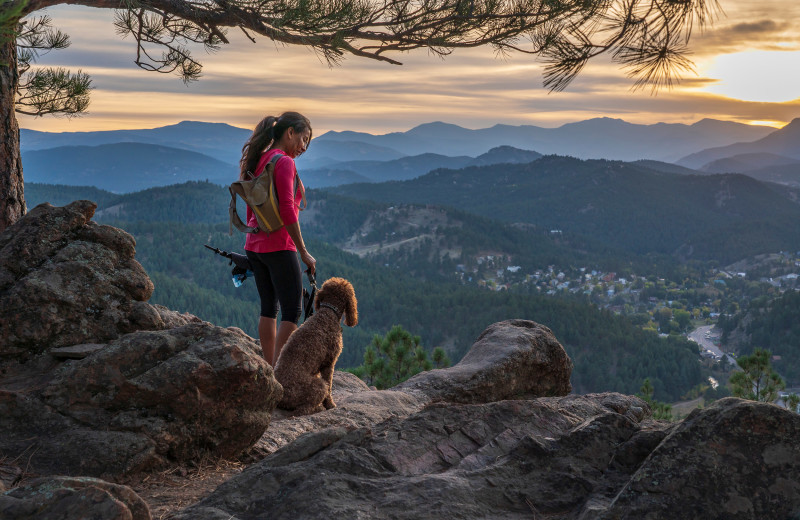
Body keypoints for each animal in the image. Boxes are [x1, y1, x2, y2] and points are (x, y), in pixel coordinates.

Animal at [274, 276, 358, 414]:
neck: (328, 312)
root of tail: (281, 396)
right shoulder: (328, 364)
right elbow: (329, 386)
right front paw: (330, 404)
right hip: (317, 386)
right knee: (303, 409)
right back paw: (317, 408)